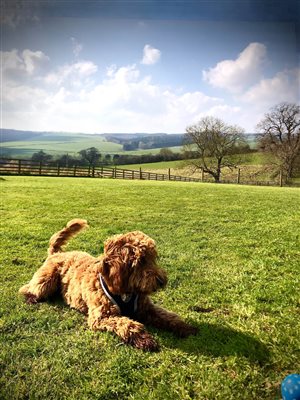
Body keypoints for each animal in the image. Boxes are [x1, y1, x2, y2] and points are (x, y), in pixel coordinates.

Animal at [18, 220, 197, 352]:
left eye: (153, 258)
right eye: (141, 261)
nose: (161, 281)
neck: (125, 290)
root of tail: (57, 253)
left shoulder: (146, 308)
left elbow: (167, 316)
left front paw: (184, 327)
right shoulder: (102, 316)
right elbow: (127, 324)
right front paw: (145, 339)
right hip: (47, 280)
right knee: (28, 288)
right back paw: (31, 297)